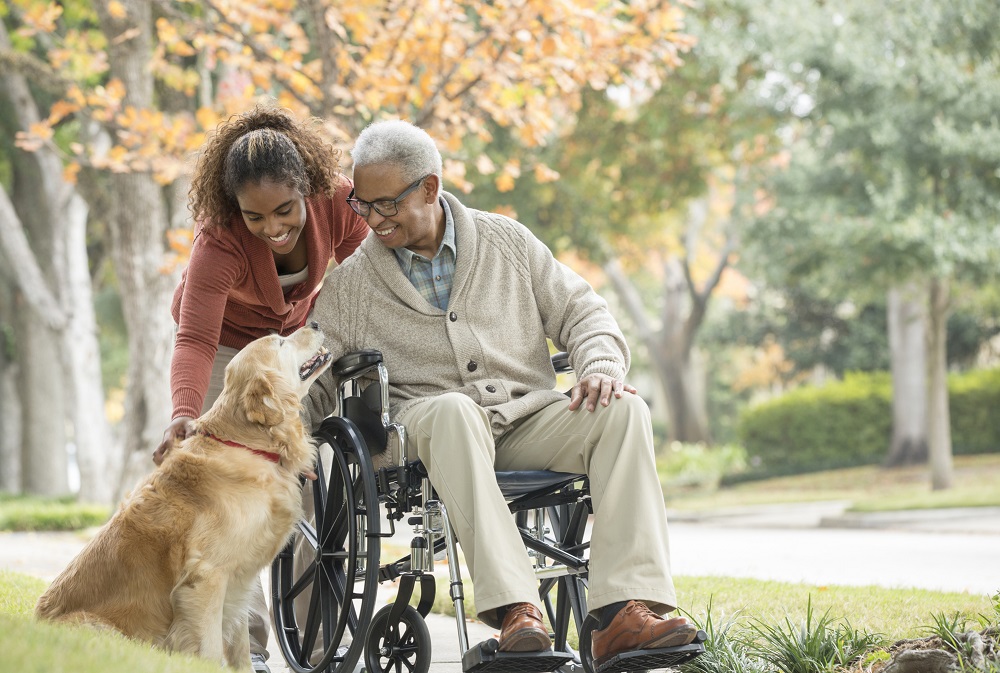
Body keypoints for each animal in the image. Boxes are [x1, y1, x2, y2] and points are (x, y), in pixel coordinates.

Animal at [36, 320, 332, 668]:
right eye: (280, 343)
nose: (315, 322)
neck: (247, 445)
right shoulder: (206, 577)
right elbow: (211, 650)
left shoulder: (238, 584)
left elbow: (241, 650)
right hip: (100, 630)